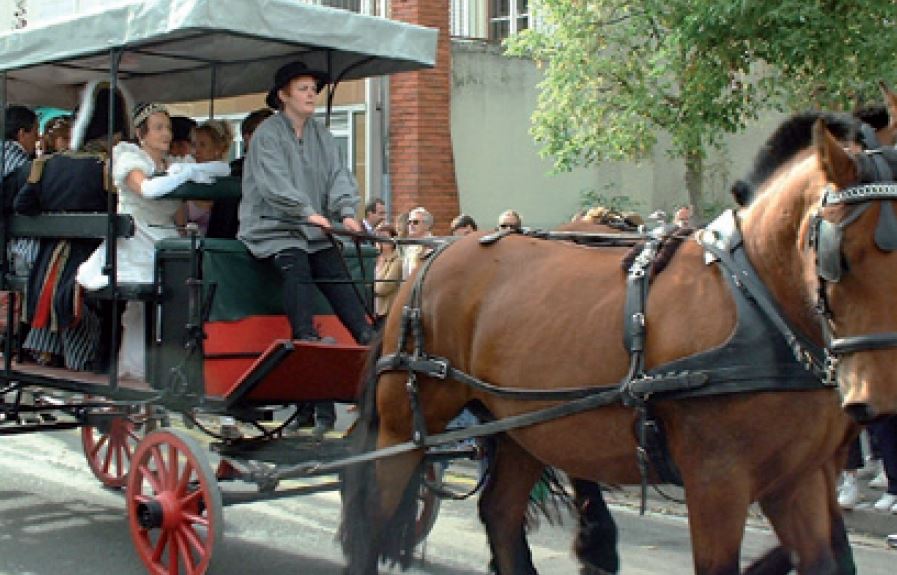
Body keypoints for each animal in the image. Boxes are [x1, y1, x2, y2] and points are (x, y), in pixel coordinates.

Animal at [342, 115, 880, 572]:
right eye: (842, 250)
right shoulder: (719, 479)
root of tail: (433, 260)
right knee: (373, 514)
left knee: (499, 511)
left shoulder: (803, 470)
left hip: (520, 425)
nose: (874, 392)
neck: (756, 296)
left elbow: (830, 552)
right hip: (407, 424)